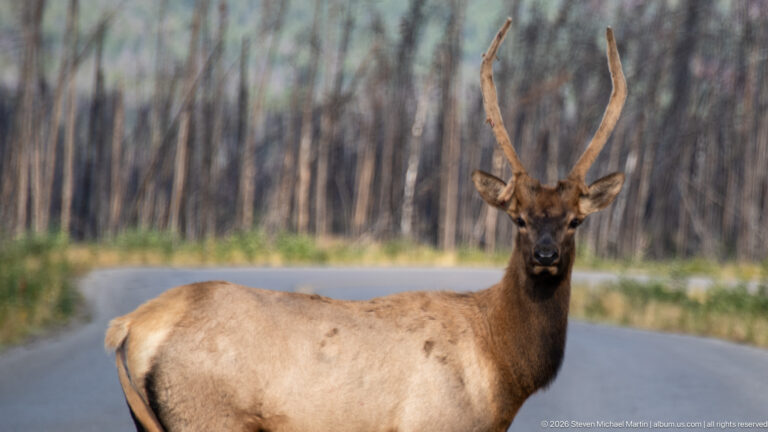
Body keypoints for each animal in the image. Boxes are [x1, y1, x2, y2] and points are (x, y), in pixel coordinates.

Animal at [105, 18, 626, 432]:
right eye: (518, 219)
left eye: (575, 221)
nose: (545, 255)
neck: (501, 376)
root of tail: (128, 326)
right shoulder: (433, 423)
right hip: (206, 415)